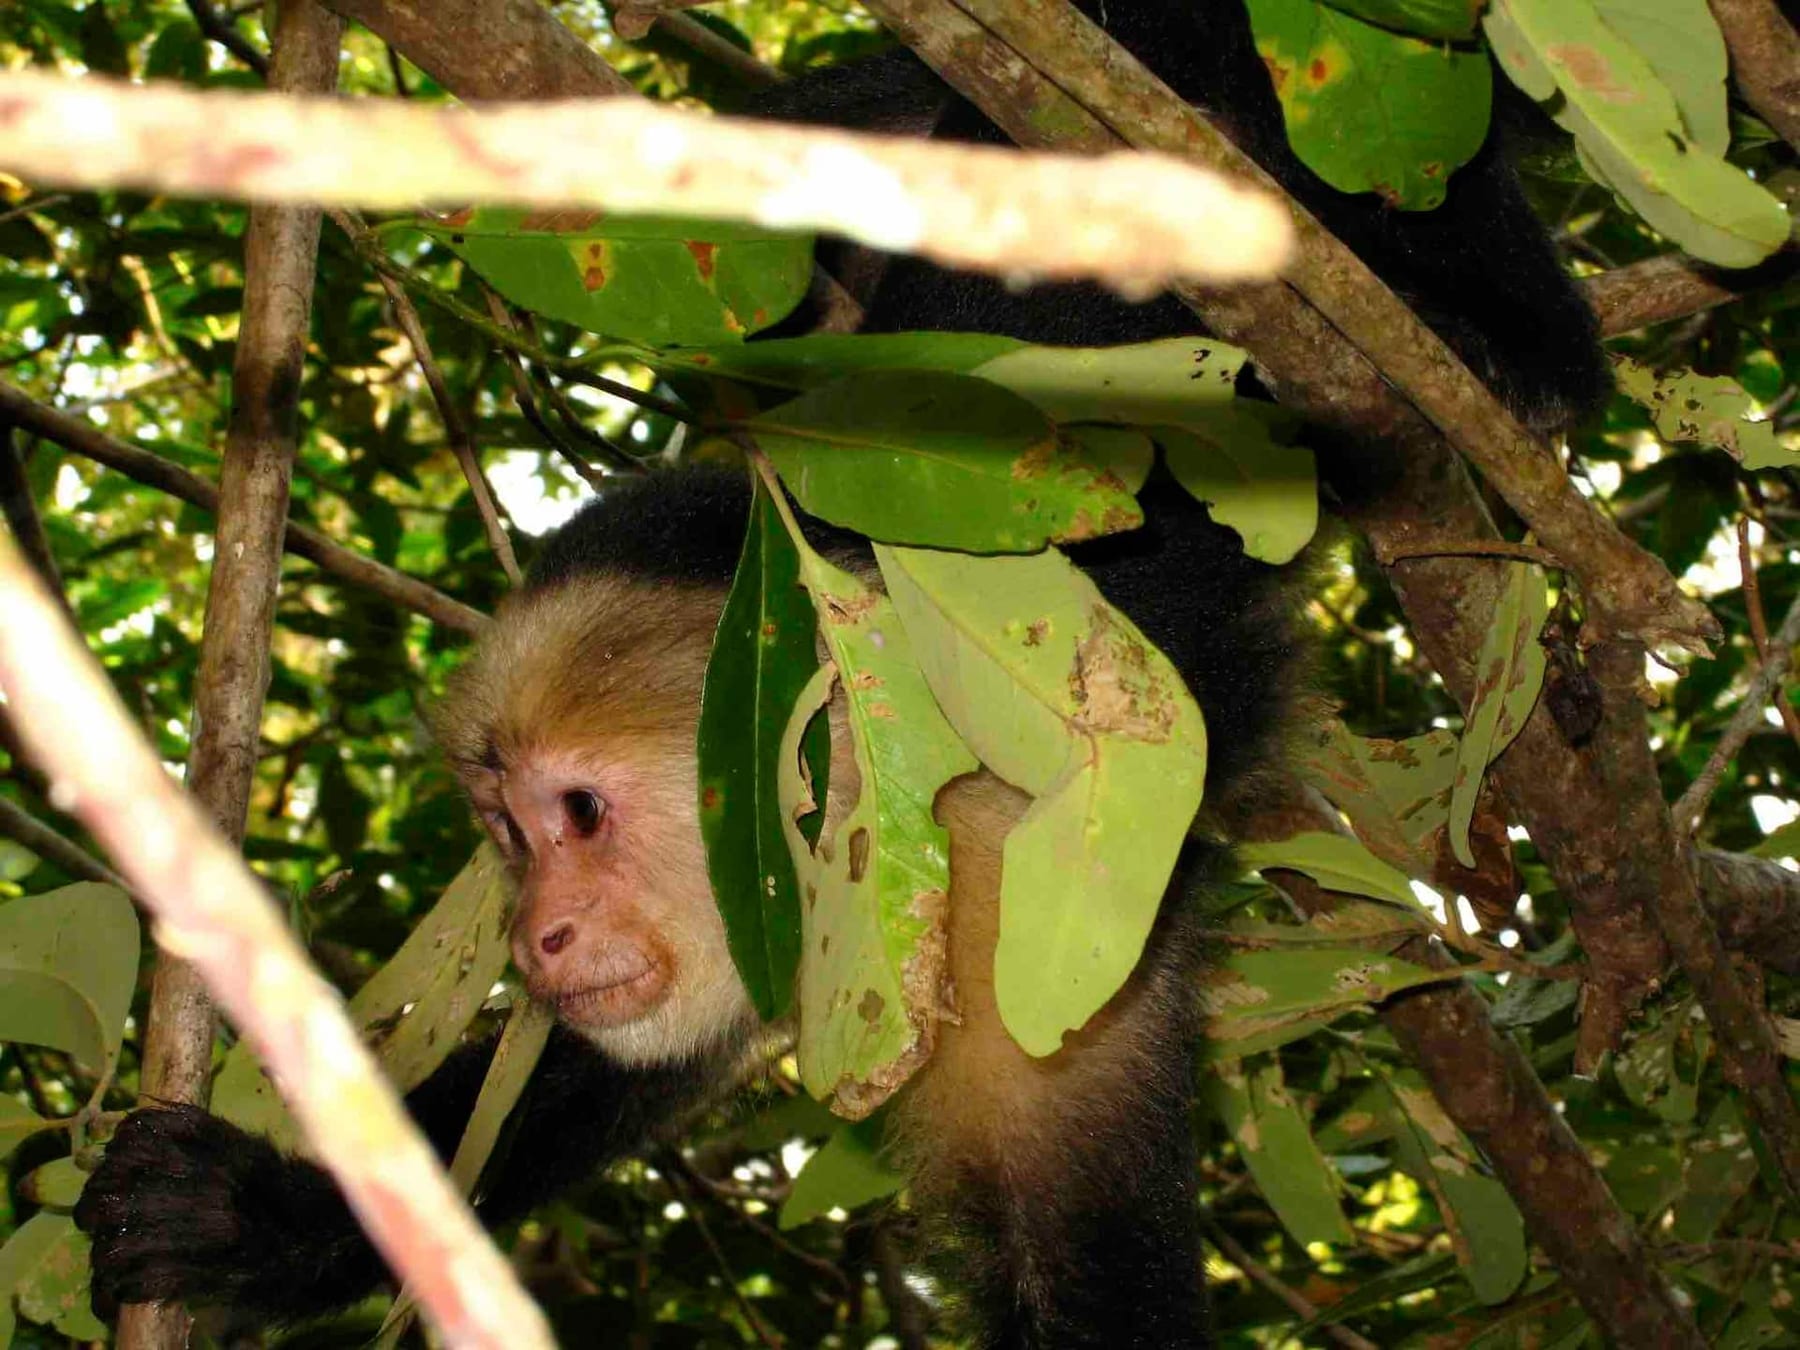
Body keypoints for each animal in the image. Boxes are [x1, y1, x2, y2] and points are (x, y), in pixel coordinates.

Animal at [74, 1, 1613, 1344]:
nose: (537, 938)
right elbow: (580, 1086)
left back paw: (1508, 348)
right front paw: (254, 1220)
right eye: (509, 837)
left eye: (583, 816)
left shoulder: (1031, 893)